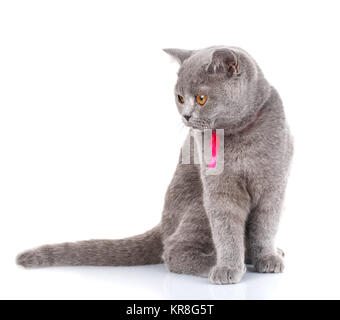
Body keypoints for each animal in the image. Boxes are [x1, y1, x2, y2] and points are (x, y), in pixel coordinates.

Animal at [16, 45, 292, 284]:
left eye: (201, 98)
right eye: (179, 98)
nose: (186, 115)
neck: (241, 136)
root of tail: (163, 224)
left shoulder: (274, 184)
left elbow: (266, 225)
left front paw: (267, 258)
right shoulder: (219, 189)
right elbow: (227, 228)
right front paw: (228, 267)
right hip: (198, 207)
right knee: (172, 250)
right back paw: (214, 263)